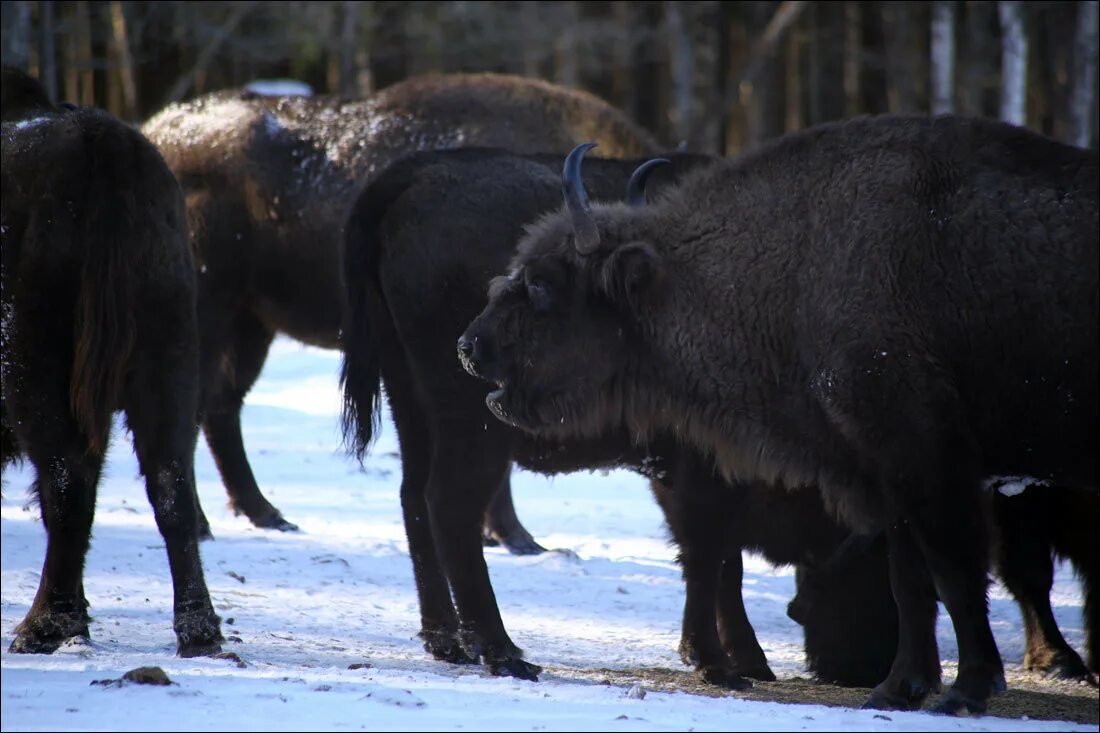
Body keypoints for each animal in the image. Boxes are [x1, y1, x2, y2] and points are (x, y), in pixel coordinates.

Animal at [0, 65, 225, 651]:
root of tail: (100, 142)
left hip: (35, 372)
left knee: (68, 485)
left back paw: (44, 624)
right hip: (169, 365)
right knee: (171, 485)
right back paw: (198, 629)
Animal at [144, 71, 660, 545]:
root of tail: (157, 135)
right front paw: (514, 537)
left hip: (251, 322)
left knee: (222, 404)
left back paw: (268, 514)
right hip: (210, 313)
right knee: (193, 408)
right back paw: (204, 524)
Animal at [462, 118, 1100, 713]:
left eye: (542, 283)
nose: (470, 347)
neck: (798, 261)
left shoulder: (927, 461)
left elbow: (953, 573)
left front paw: (963, 691)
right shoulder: (884, 474)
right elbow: (911, 579)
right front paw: (897, 689)